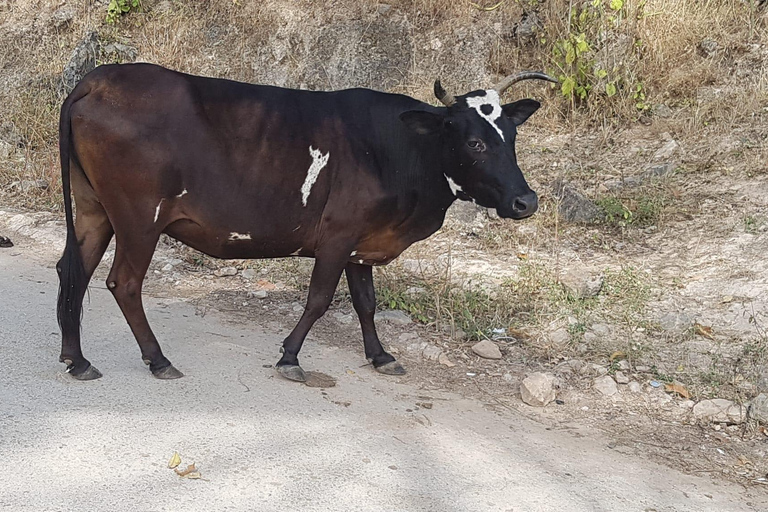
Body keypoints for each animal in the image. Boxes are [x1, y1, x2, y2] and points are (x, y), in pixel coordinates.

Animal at [57, 64, 556, 382]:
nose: (525, 201)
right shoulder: (337, 236)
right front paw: (290, 357)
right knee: (123, 283)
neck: (398, 151)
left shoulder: (362, 243)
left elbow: (366, 303)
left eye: (511, 137)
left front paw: (381, 356)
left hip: (94, 209)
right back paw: (158, 359)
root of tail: (98, 78)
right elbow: (318, 301)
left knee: (72, 271)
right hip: (139, 218)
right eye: (474, 142)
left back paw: (76, 360)